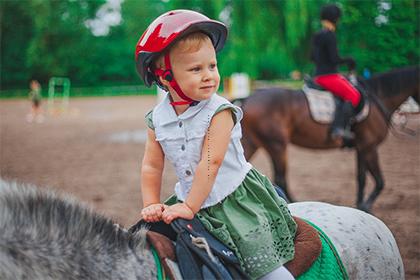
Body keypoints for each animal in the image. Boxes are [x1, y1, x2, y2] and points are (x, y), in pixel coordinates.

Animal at [238, 66, 418, 212]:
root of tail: (248, 98)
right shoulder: (370, 146)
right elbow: (380, 181)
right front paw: (366, 206)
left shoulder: (361, 147)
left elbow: (361, 177)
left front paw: (360, 204)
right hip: (276, 145)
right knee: (280, 178)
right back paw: (293, 202)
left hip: (252, 143)